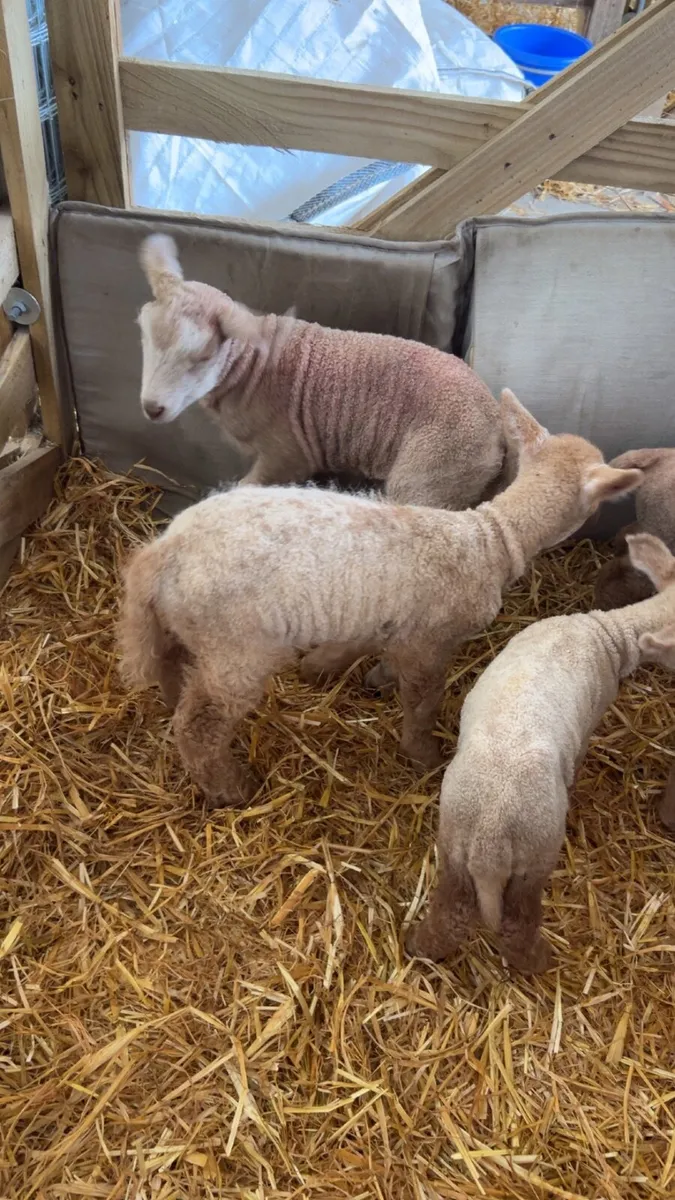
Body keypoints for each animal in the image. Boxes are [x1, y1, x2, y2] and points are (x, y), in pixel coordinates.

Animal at [117, 389, 642, 810]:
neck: (489, 539)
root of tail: (161, 554)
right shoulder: (431, 639)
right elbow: (423, 699)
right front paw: (423, 754)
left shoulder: (386, 618)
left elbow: (358, 651)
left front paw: (333, 671)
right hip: (236, 647)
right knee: (199, 725)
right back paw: (230, 789)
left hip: (187, 627)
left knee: (170, 666)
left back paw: (172, 703)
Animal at [137, 233, 509, 510]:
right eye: (142, 332)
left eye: (203, 355)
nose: (152, 408)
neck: (251, 371)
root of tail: (495, 424)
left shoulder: (287, 454)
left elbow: (248, 485)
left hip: (434, 469)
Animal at [405, 532, 675, 976]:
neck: (609, 633)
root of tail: (490, 836)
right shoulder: (590, 719)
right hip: (533, 859)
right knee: (516, 925)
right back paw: (539, 963)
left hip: (453, 848)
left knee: (450, 913)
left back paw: (419, 948)